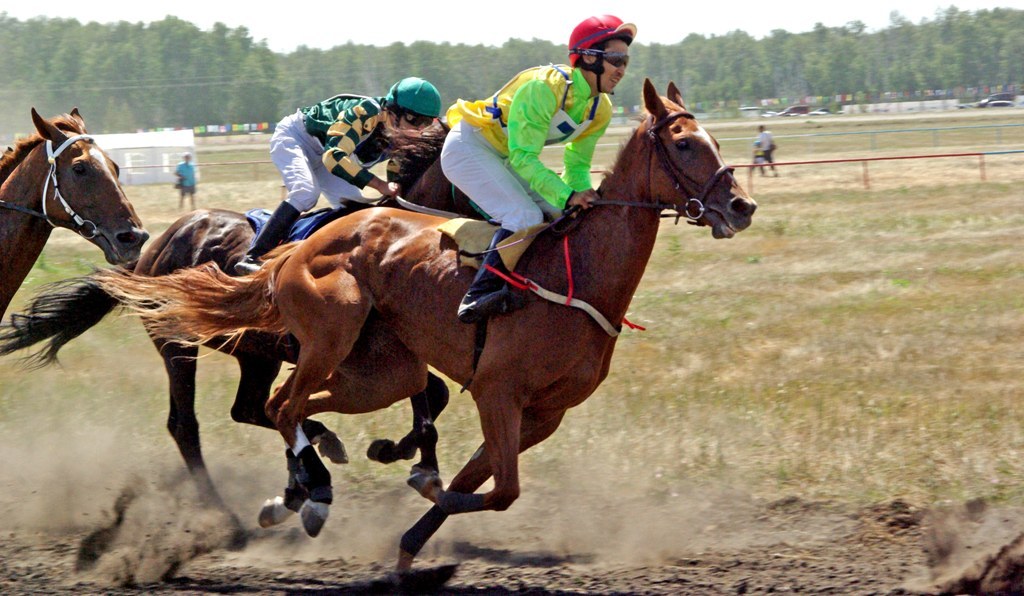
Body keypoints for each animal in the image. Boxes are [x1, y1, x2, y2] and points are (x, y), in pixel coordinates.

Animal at [90, 80, 761, 569]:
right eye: (684, 144)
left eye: (713, 141)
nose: (742, 205)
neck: (580, 275)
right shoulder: (498, 391)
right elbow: (495, 486)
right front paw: (417, 477)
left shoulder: (541, 412)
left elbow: (476, 473)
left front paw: (409, 521)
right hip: (251, 346)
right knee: (227, 418)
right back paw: (281, 500)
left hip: (358, 368)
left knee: (278, 406)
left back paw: (311, 478)